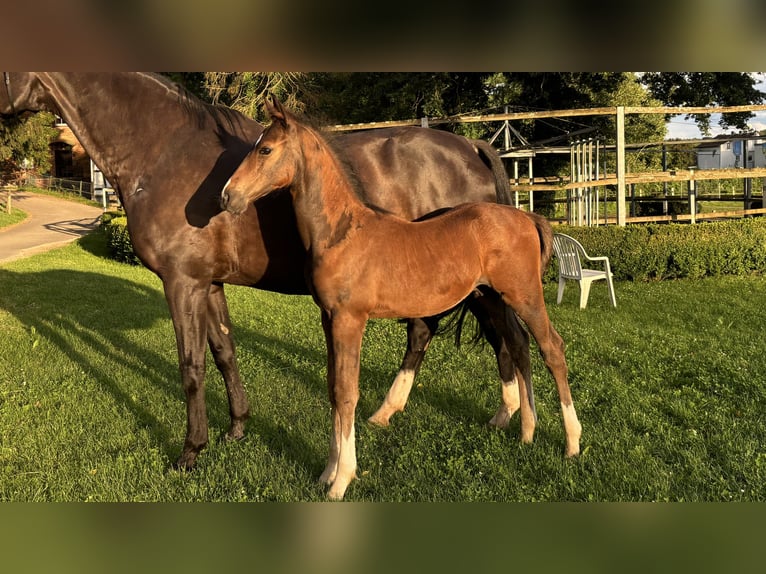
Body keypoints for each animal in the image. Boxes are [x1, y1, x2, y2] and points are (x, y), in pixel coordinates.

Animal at [222, 99, 584, 500]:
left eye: (266, 149)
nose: (227, 195)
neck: (342, 231)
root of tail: (528, 218)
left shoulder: (350, 318)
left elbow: (347, 393)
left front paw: (342, 480)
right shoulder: (328, 317)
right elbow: (333, 389)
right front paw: (327, 473)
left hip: (525, 295)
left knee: (552, 348)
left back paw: (571, 442)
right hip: (491, 296)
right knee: (518, 344)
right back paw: (527, 432)